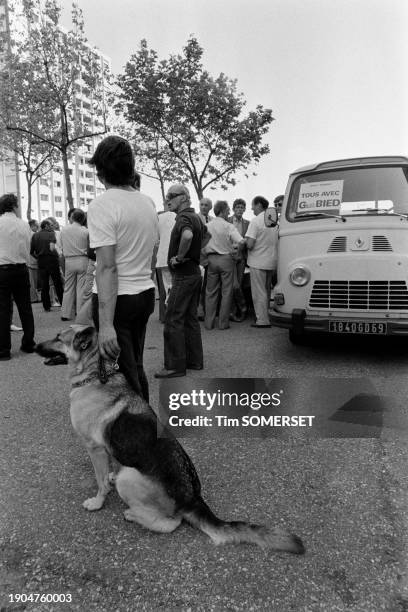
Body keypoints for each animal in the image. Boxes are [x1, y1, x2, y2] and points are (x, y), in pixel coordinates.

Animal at [35, 326, 304, 556]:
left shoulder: (95, 449)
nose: (35, 346)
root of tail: (192, 498)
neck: (93, 375)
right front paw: (109, 477)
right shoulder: (106, 449)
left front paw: (98, 501)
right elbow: (110, 467)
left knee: (170, 523)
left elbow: (101, 481)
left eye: (58, 338)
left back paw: (134, 515)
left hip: (129, 479)